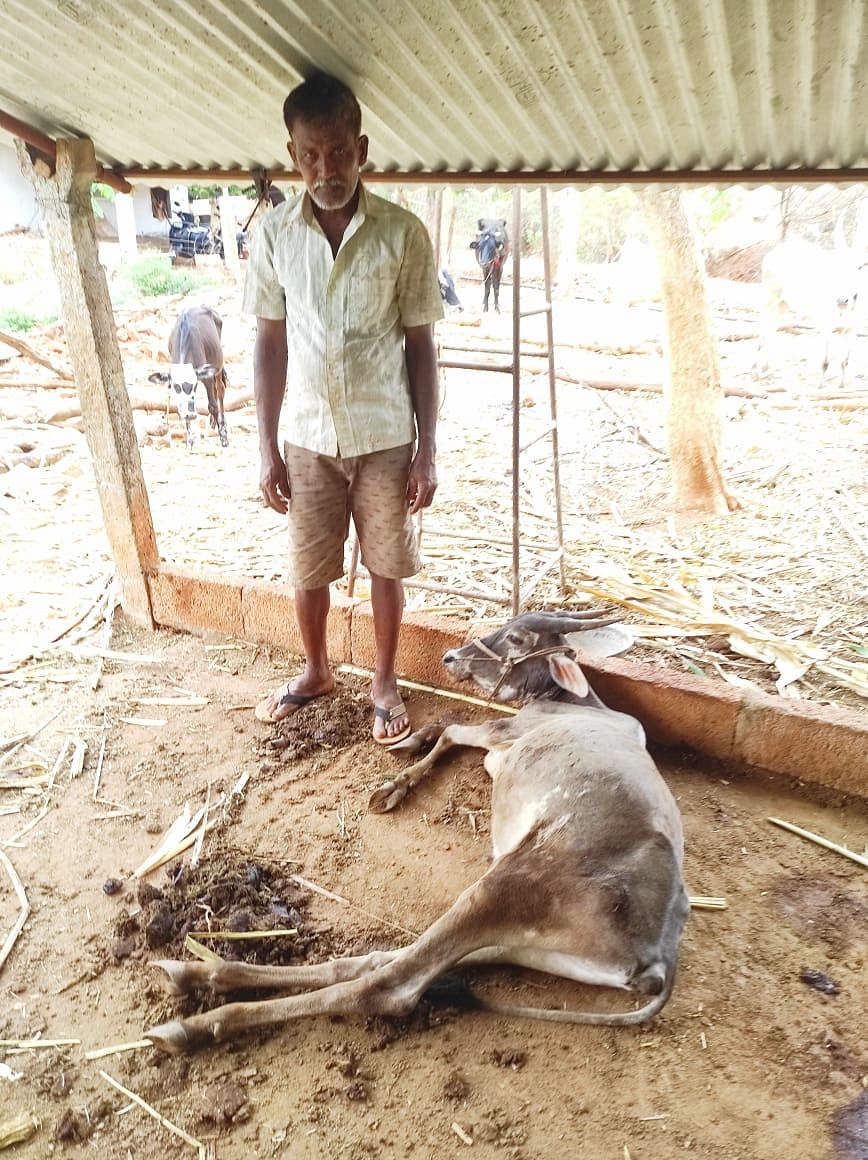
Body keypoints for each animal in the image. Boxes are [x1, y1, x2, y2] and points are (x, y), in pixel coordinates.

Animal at [145, 612, 686, 1057]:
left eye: (517, 636)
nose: (451, 656)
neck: (579, 703)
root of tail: (657, 959)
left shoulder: (505, 734)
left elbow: (451, 729)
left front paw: (397, 779)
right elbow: (449, 729)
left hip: (509, 884)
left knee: (390, 987)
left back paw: (202, 1021)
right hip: (529, 944)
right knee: (387, 961)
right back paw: (202, 972)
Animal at [149, 303, 230, 447]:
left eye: (195, 385)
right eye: (176, 387)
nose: (191, 415)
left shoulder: (206, 377)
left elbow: (213, 406)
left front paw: (223, 437)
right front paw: (190, 440)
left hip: (218, 364)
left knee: (220, 392)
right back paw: (212, 424)